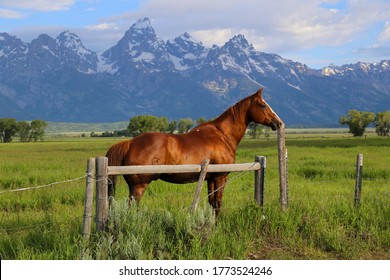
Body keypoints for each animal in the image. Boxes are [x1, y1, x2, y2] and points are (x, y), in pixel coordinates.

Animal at [106, 87, 282, 214]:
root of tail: (130, 143)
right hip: (139, 187)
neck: (222, 135)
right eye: (262, 105)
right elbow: (218, 203)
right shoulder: (221, 177)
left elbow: (212, 202)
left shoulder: (211, 178)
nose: (278, 123)